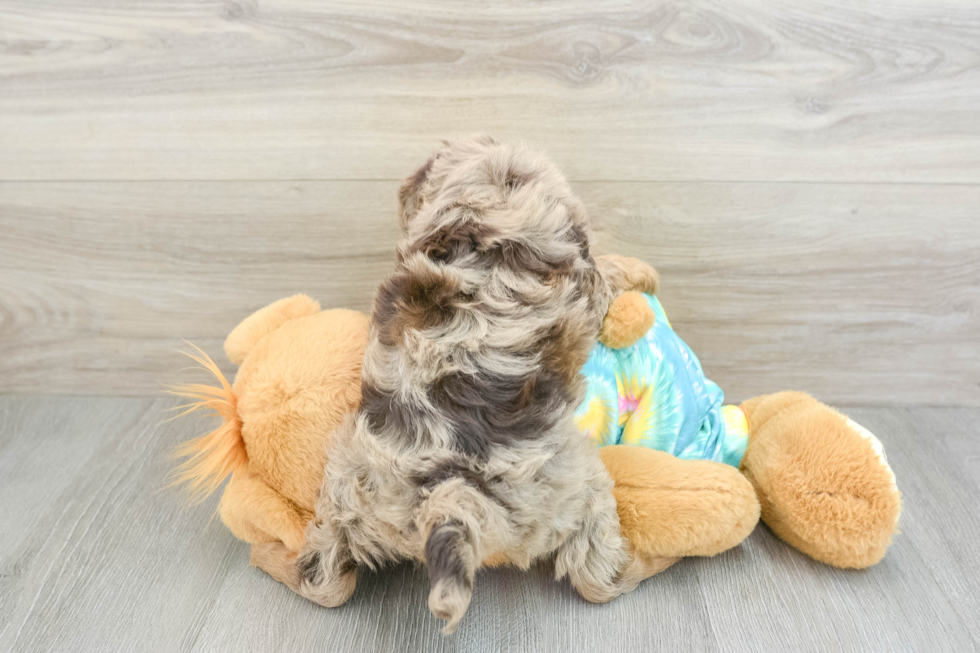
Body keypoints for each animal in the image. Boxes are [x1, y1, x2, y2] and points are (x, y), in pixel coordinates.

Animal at [253, 136, 664, 632]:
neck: (487, 210)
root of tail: (450, 492)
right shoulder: (585, 279)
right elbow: (606, 272)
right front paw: (641, 271)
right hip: (580, 488)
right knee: (597, 576)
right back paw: (647, 564)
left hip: (344, 489)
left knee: (325, 581)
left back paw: (272, 556)